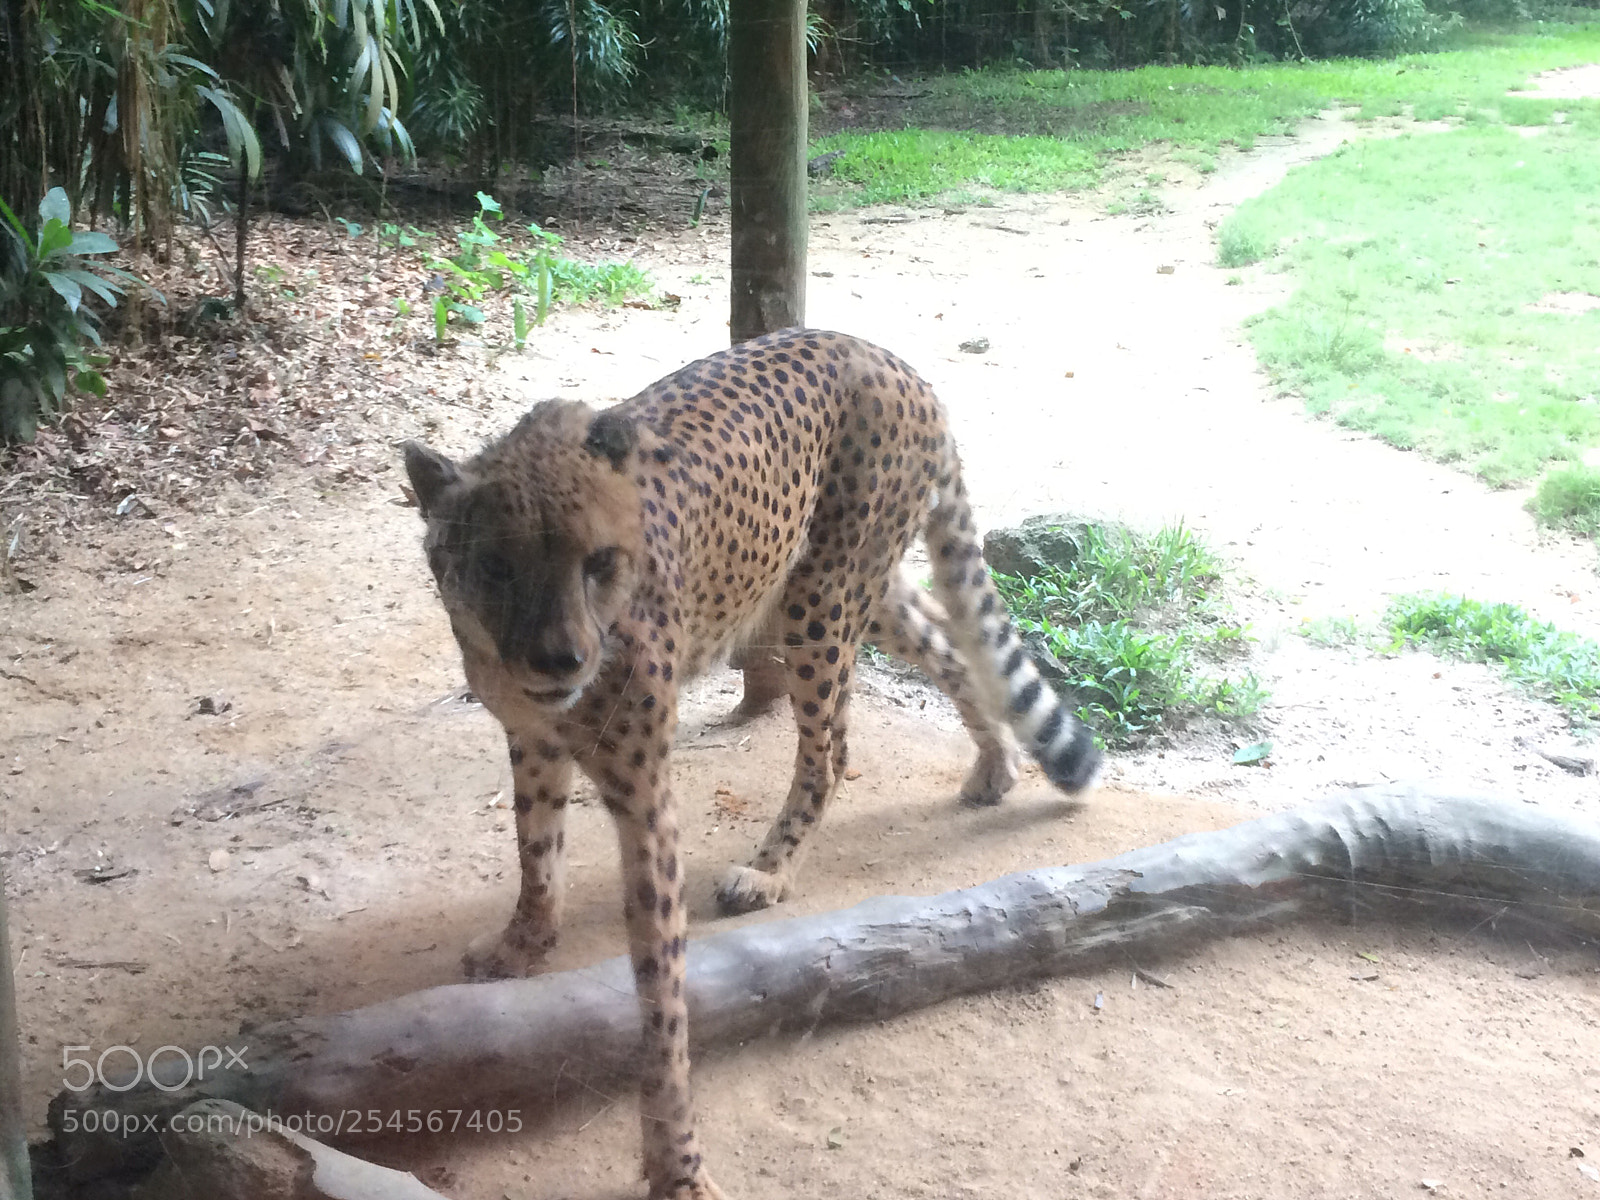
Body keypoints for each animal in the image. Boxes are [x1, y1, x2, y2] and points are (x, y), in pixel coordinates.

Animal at [402, 328, 1100, 1200]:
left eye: (599, 561)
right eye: (496, 566)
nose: (562, 657)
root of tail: (887, 358)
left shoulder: (645, 794)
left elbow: (660, 1000)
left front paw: (677, 1164)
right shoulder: (532, 738)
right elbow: (535, 848)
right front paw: (523, 942)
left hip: (820, 600)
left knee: (833, 748)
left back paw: (770, 868)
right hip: (851, 587)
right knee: (946, 641)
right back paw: (994, 766)